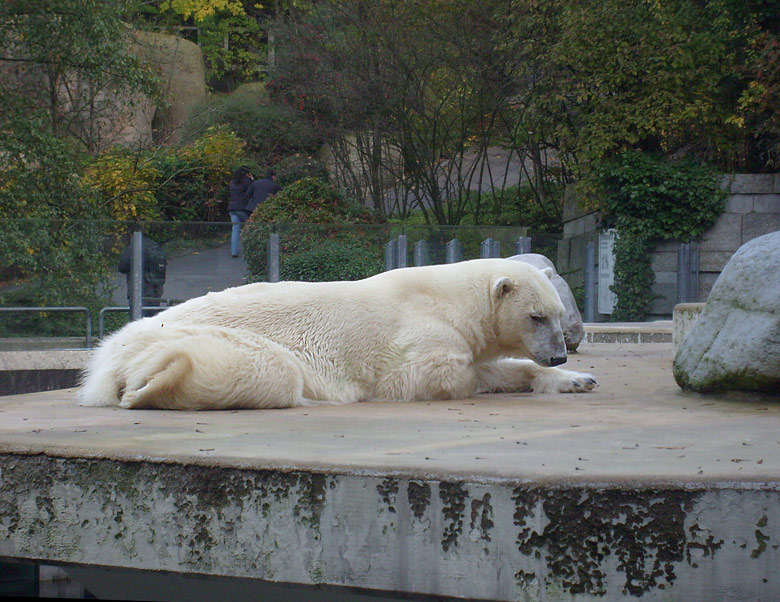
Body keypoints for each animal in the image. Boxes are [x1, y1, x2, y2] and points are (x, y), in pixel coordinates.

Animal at [79, 258, 596, 408]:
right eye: (536, 317)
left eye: (560, 314)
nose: (560, 355)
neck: (450, 299)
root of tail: (109, 353)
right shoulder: (418, 338)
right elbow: (435, 377)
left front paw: (578, 380)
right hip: (198, 336)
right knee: (272, 370)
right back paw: (151, 384)